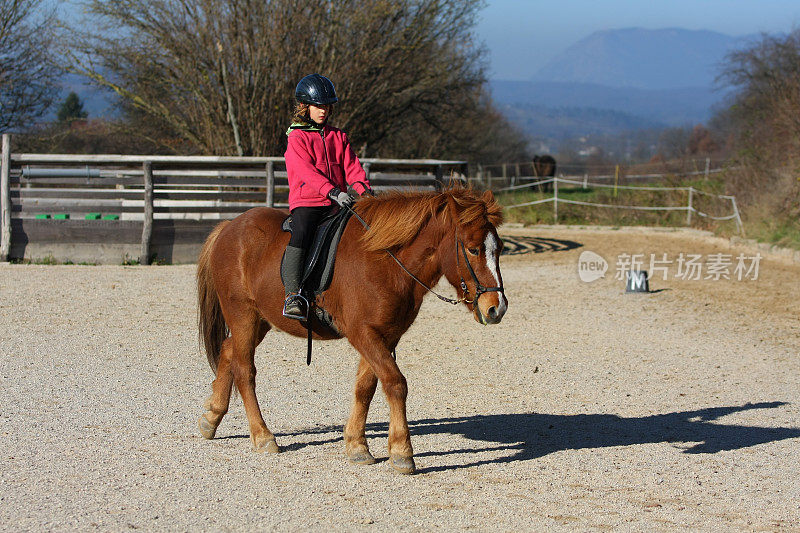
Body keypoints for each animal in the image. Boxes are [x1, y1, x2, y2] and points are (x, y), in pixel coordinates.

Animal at [196, 185, 506, 472]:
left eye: (499, 249)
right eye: (473, 248)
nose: (497, 308)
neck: (385, 261)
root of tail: (229, 227)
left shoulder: (385, 335)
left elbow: (365, 386)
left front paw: (357, 445)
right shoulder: (363, 333)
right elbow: (395, 383)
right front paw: (402, 451)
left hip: (260, 319)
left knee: (228, 351)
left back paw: (211, 417)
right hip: (243, 314)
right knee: (244, 371)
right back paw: (262, 436)